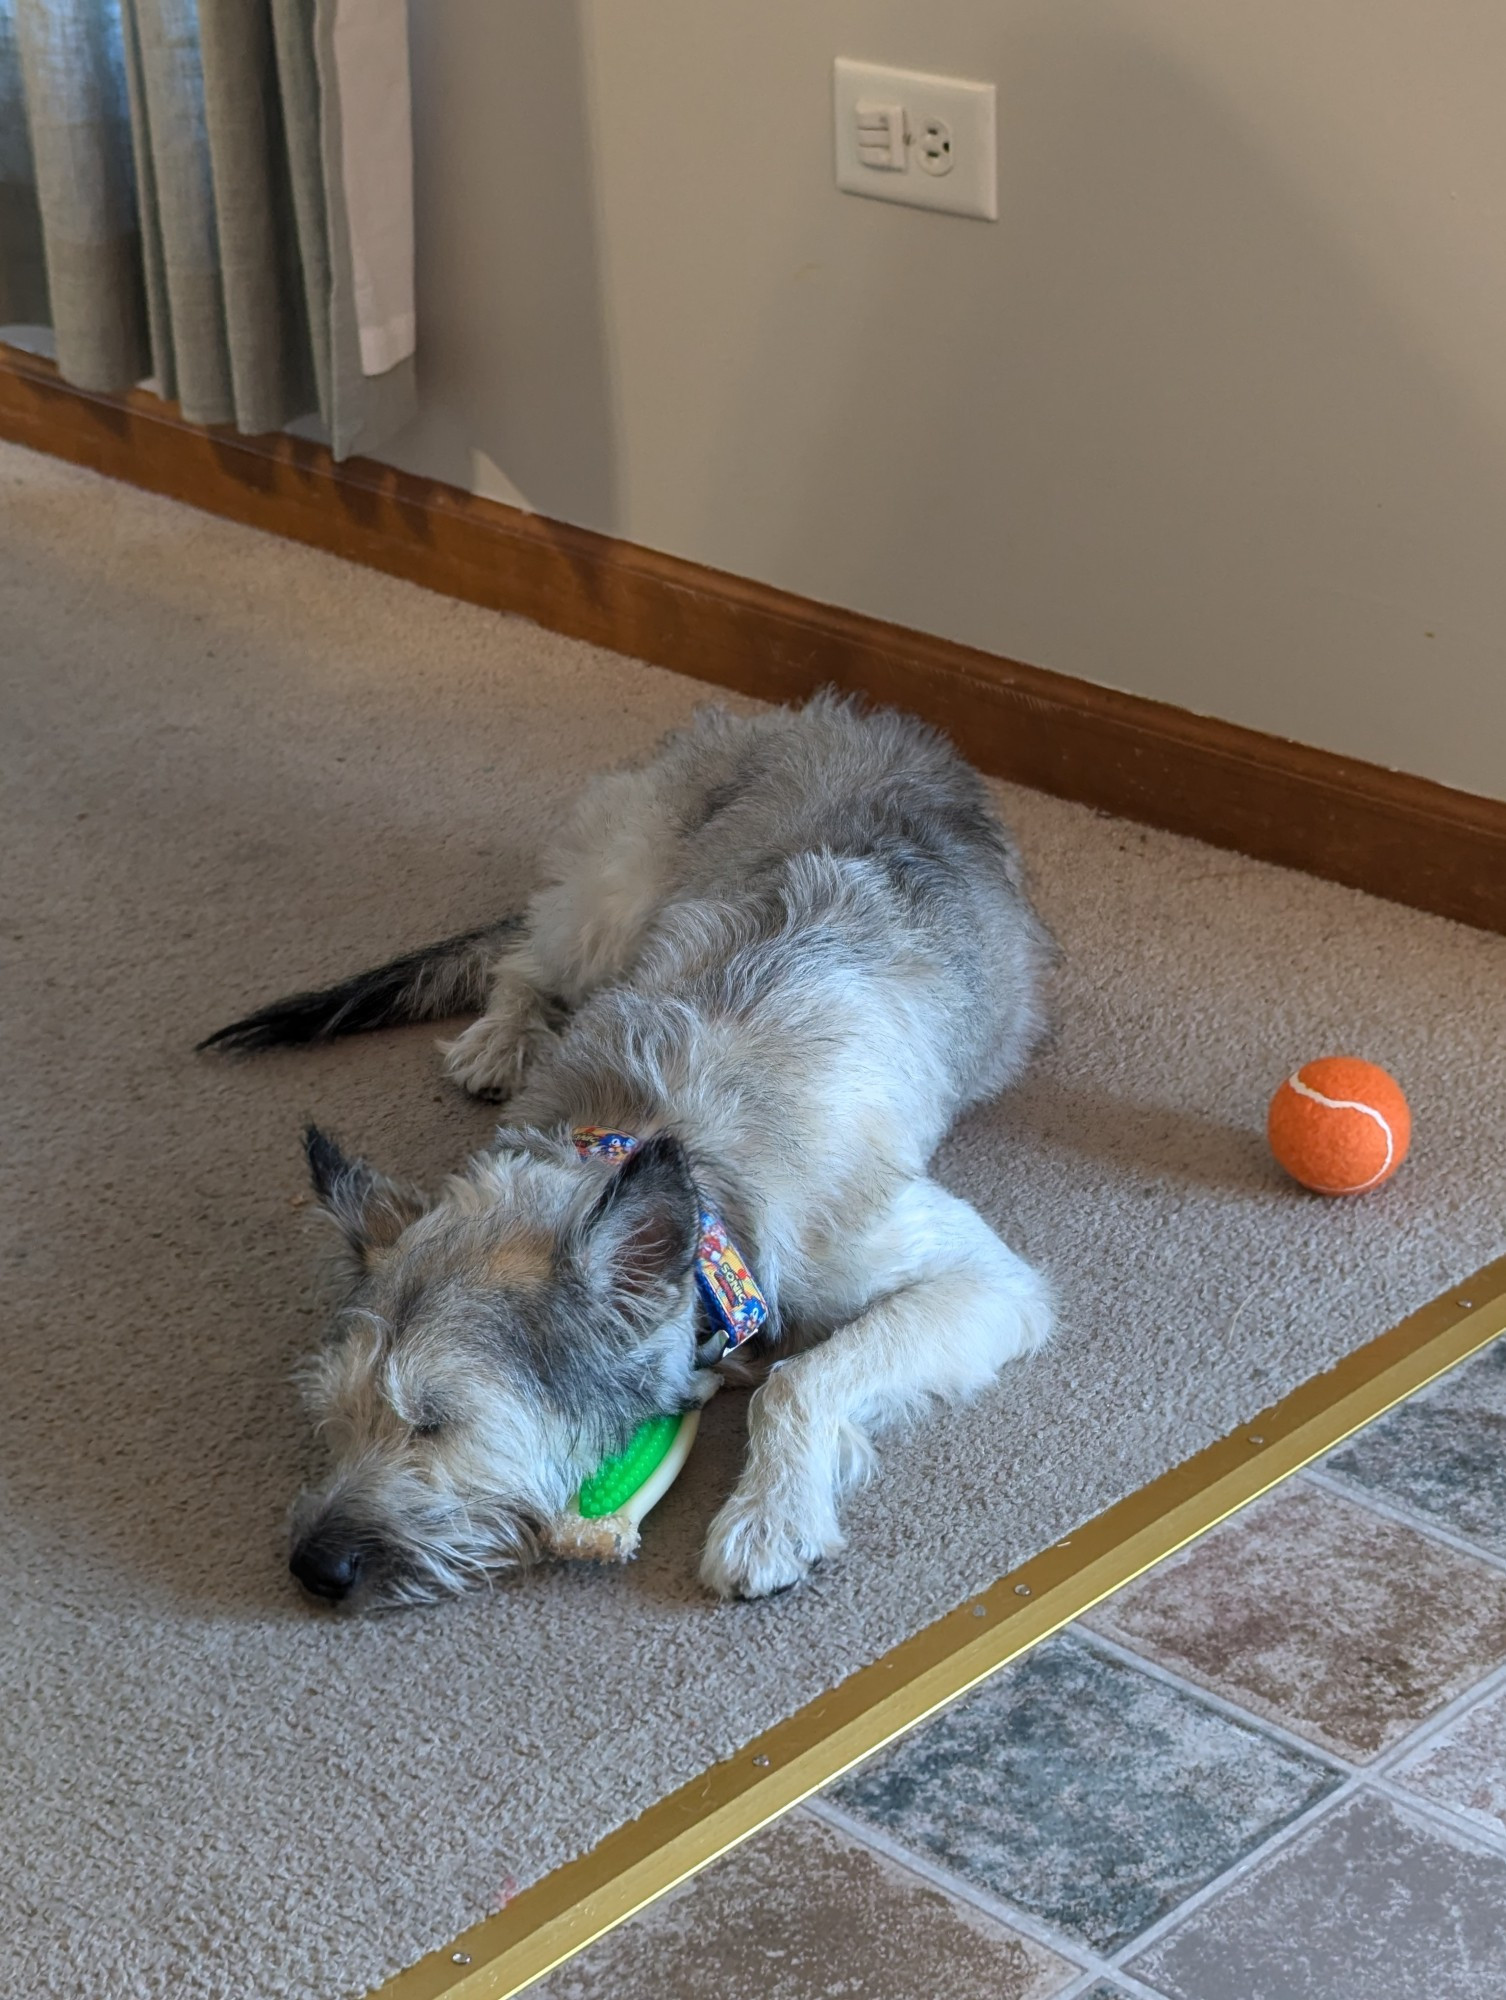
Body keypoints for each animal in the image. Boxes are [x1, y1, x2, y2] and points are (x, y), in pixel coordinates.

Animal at [203, 696, 1056, 1600]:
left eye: (437, 1422)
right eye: (335, 1416)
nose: (313, 1568)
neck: (666, 1151)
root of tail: (839, 713)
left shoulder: (984, 1281)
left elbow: (796, 1379)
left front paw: (768, 1519)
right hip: (610, 909)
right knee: (524, 961)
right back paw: (499, 1039)